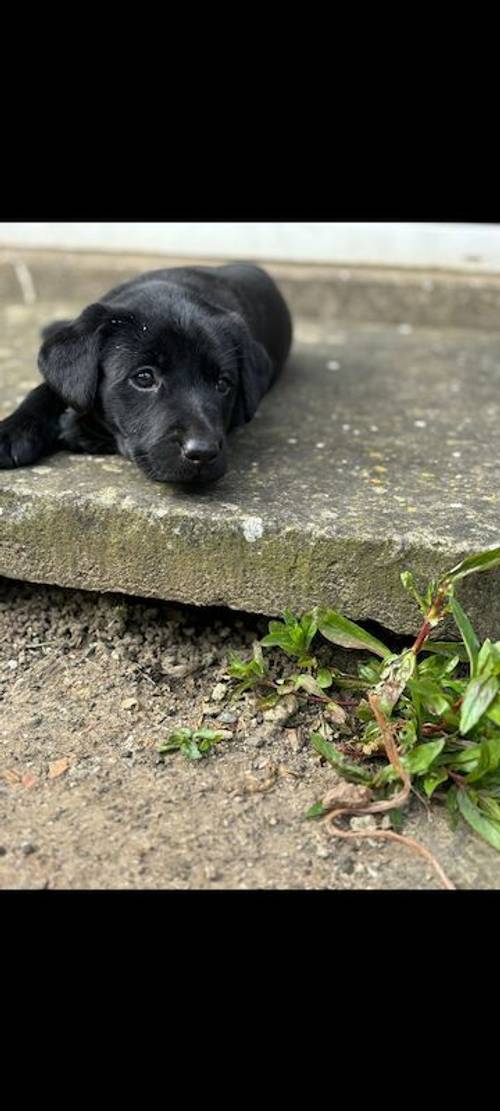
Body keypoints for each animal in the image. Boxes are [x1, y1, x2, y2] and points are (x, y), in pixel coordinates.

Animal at [0, 264, 293, 486]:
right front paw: (13, 431)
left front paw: (77, 429)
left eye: (223, 384)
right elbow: (48, 389)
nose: (203, 453)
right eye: (144, 378)